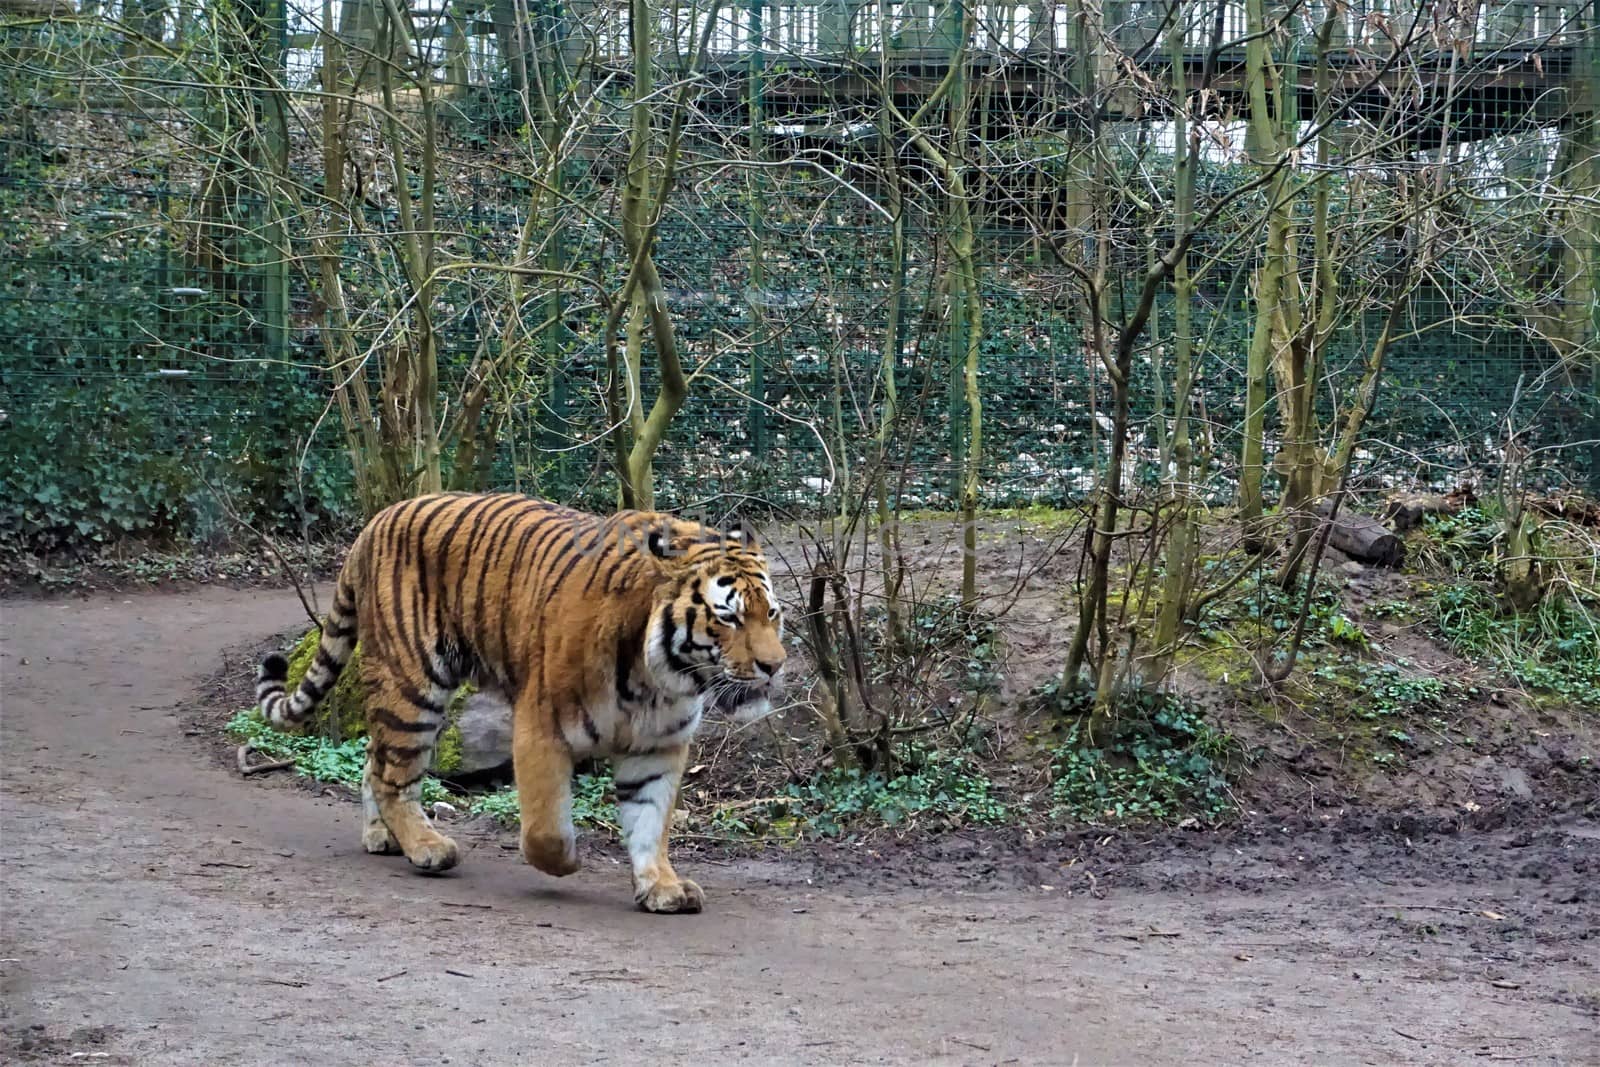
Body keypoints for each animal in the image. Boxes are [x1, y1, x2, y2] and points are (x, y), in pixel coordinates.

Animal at [251, 492, 793, 908]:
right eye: (728, 617)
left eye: (772, 614)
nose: (775, 665)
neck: (659, 679)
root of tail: (377, 520)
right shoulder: (542, 726)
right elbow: (545, 827)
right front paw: (568, 860)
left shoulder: (658, 745)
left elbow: (650, 819)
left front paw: (661, 886)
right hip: (412, 685)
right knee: (392, 777)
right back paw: (427, 847)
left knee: (373, 758)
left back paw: (382, 837)